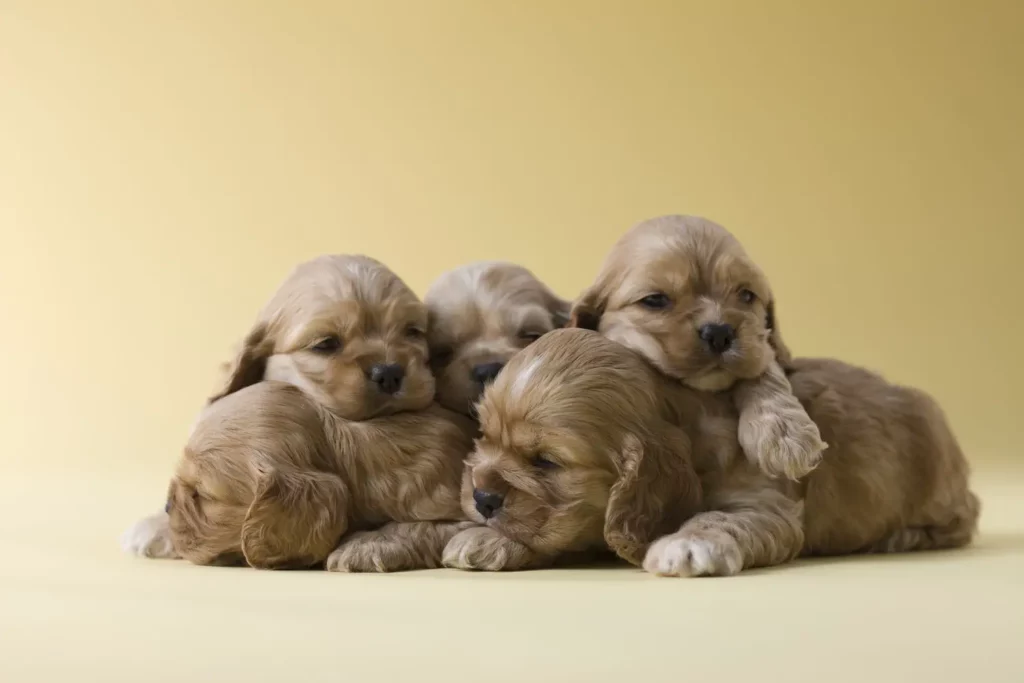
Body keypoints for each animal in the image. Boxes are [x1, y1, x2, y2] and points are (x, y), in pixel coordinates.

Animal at [444, 327, 978, 573]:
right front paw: (487, 538)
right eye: (485, 436)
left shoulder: (766, 506)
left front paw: (686, 544)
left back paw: (903, 537)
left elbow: (719, 518)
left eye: (546, 462)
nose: (482, 498)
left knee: (965, 516)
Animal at [573, 215, 827, 481]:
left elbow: (764, 367)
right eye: (654, 299)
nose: (719, 333)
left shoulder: (761, 346)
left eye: (747, 295)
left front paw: (784, 432)